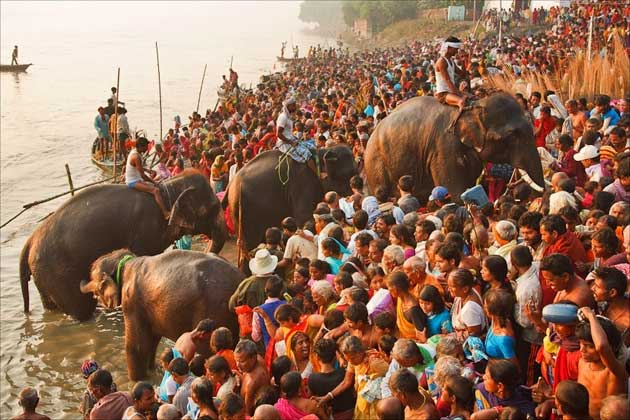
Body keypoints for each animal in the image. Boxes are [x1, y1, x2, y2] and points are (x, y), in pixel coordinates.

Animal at [19, 169, 230, 320]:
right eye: (212, 208)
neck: (169, 187)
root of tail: (29, 242)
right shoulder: (144, 233)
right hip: (57, 273)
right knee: (80, 309)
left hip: (43, 275)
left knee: (51, 307)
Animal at [80, 249, 243, 380]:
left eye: (94, 279)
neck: (125, 262)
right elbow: (152, 342)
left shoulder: (132, 303)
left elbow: (137, 347)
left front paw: (137, 381)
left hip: (214, 310)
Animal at [225, 146, 358, 253]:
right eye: (348, 173)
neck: (319, 153)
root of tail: (230, 184)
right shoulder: (302, 185)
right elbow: (304, 217)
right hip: (244, 211)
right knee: (249, 244)